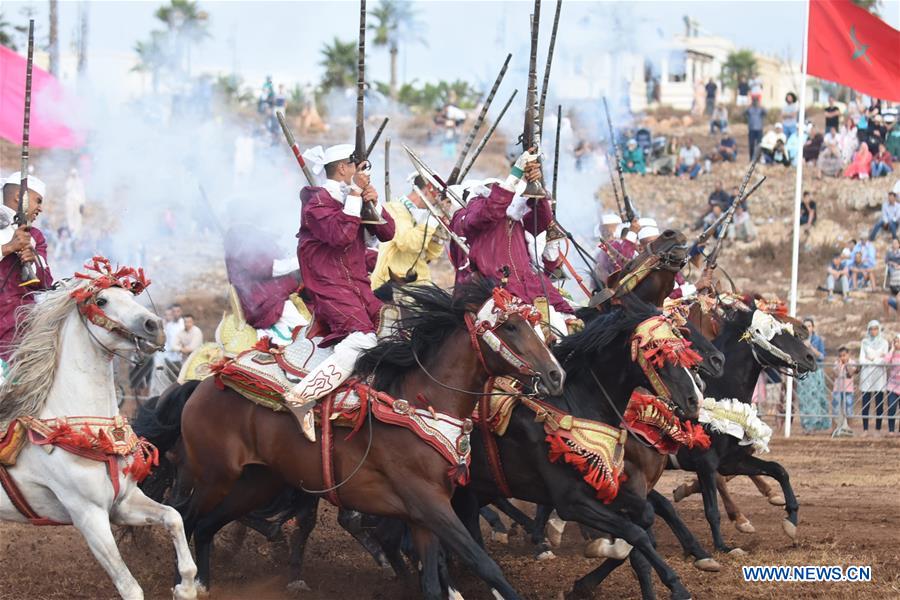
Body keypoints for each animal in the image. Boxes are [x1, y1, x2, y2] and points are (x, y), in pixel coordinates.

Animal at [0, 262, 199, 600]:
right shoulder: (89, 517)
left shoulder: (124, 503)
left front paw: (185, 587)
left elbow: (173, 518)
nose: (154, 325)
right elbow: (130, 587)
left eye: (130, 294)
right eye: (102, 300)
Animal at [176, 282, 564, 600]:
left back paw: (205, 585)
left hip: (257, 481)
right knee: (187, 518)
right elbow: (485, 565)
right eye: (510, 326)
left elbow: (432, 585)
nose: (555, 374)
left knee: (207, 526)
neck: (424, 401)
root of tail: (205, 382)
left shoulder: (421, 518)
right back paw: (186, 584)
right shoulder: (431, 504)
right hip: (214, 477)